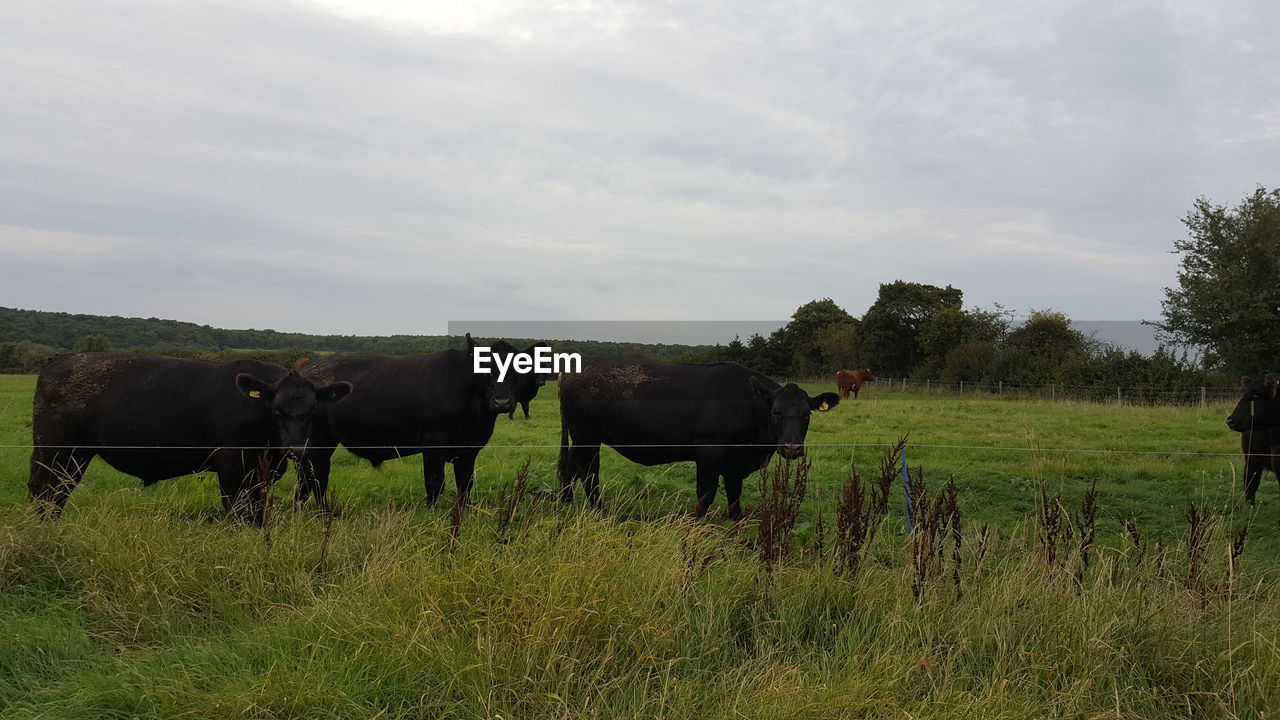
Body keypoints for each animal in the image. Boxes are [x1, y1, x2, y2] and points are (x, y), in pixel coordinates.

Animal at [30, 351, 350, 517]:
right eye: (276, 410)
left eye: (313, 410)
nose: (297, 449)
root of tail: (61, 362)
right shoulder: (232, 466)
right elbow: (236, 511)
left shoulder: (262, 471)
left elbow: (256, 512)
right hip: (60, 453)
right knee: (49, 493)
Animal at [296, 335, 532, 504]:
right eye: (486, 370)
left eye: (519, 369)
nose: (502, 401)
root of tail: (308, 367)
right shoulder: (433, 444)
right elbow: (435, 483)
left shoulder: (469, 449)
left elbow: (465, 485)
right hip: (318, 442)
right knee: (317, 478)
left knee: (305, 480)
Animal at [558, 356, 839, 515]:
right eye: (776, 413)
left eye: (806, 415)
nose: (792, 448)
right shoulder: (709, 451)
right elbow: (706, 493)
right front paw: (695, 528)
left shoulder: (735, 463)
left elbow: (734, 496)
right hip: (587, 435)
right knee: (588, 473)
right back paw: (600, 512)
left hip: (579, 437)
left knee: (569, 468)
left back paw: (566, 504)